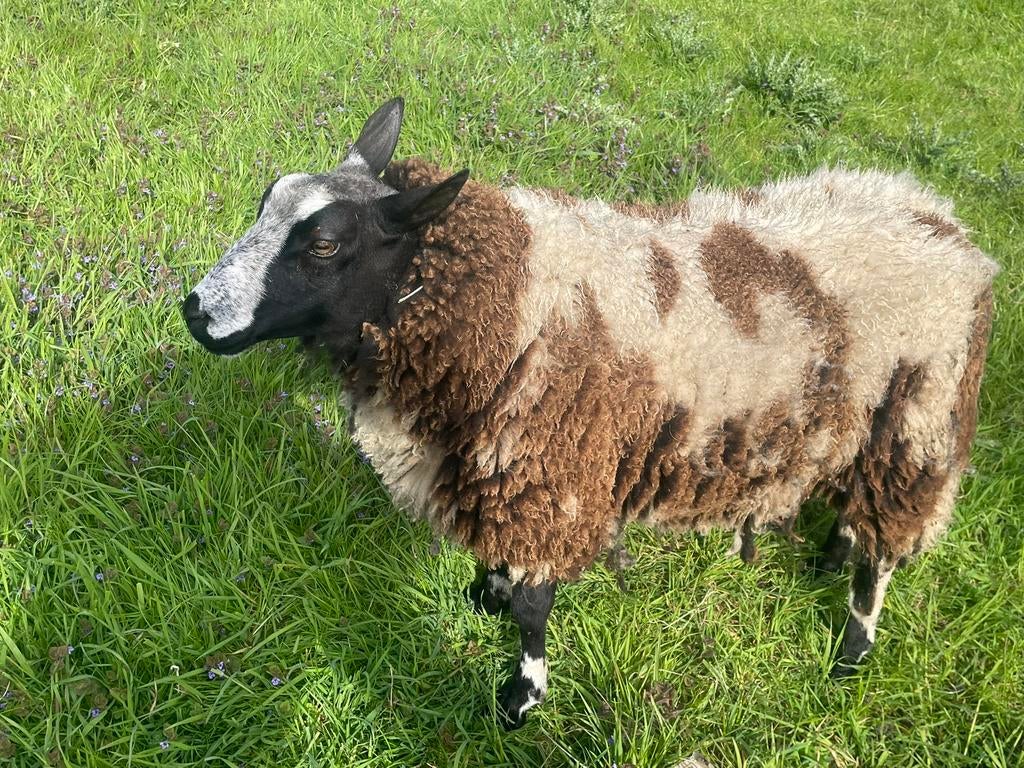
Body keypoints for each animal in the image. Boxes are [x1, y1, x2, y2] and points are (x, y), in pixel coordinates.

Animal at [183, 98, 999, 729]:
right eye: (265, 202)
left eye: (324, 244)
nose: (195, 312)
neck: (507, 295)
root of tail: (944, 221)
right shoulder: (500, 461)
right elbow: (499, 562)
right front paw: (484, 594)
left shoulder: (552, 467)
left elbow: (534, 607)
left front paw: (520, 699)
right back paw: (831, 553)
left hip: (917, 421)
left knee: (885, 549)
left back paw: (853, 650)